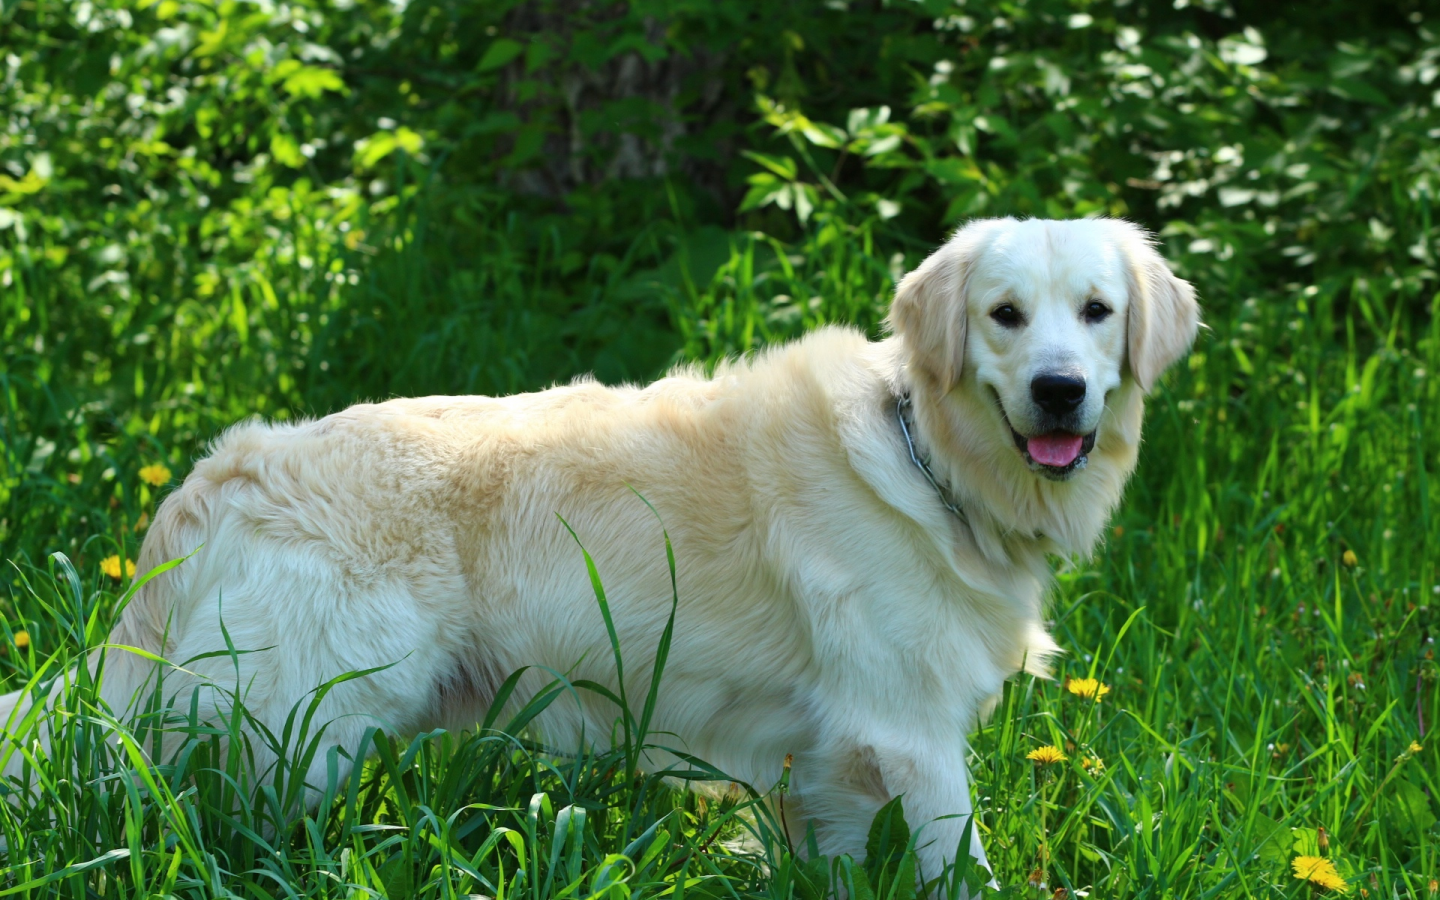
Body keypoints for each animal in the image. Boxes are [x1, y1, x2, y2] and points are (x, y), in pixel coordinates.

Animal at [0, 216, 1198, 887]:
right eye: (1005, 316)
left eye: (1097, 312)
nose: (1061, 389)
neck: (929, 457)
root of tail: (225, 470)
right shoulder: (907, 735)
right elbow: (968, 869)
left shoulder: (823, 768)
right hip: (292, 730)